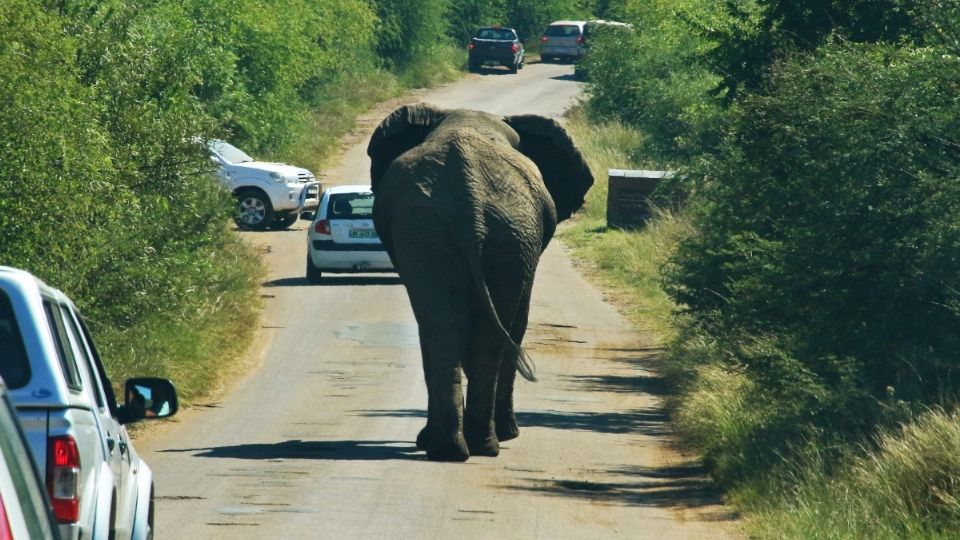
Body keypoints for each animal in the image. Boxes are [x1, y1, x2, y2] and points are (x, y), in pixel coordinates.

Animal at [368, 104, 592, 460]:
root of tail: (468, 196)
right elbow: (517, 324)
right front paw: (509, 434)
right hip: (501, 234)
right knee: (482, 332)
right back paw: (482, 444)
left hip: (440, 232)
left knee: (446, 328)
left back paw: (454, 448)